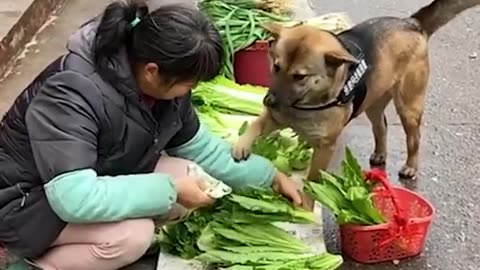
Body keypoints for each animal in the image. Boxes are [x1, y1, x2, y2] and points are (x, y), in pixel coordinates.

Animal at [232, 0, 480, 182]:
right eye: (276, 66)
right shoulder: (273, 118)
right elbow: (254, 125)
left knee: (414, 137)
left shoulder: (325, 148)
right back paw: (380, 153)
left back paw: (410, 166)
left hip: (408, 106)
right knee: (381, 127)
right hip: (373, 102)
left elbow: (313, 179)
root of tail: (411, 23)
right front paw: (241, 145)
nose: (268, 100)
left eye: (300, 77)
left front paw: (306, 202)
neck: (308, 104)